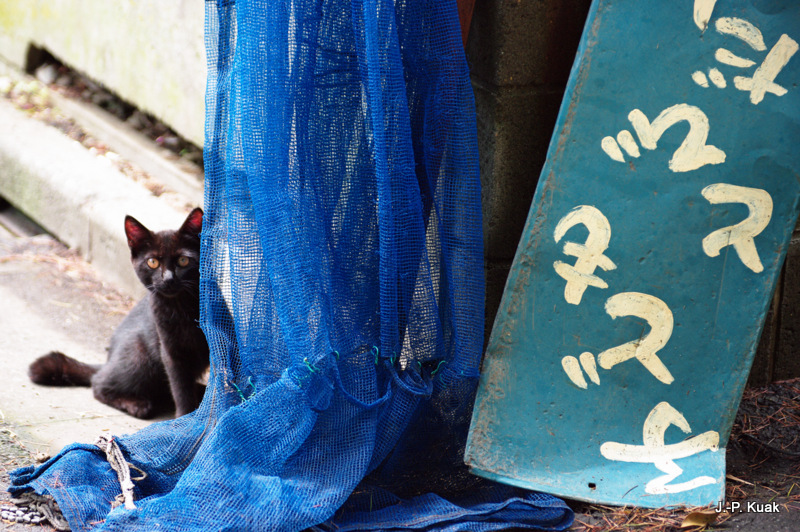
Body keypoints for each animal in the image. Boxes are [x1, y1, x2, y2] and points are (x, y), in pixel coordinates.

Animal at [28, 208, 209, 420]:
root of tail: (108, 360)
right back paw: (136, 404)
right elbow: (180, 389)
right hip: (138, 358)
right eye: (153, 262)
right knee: (99, 382)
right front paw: (184, 418)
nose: (168, 279)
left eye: (183, 260)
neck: (183, 308)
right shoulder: (171, 352)